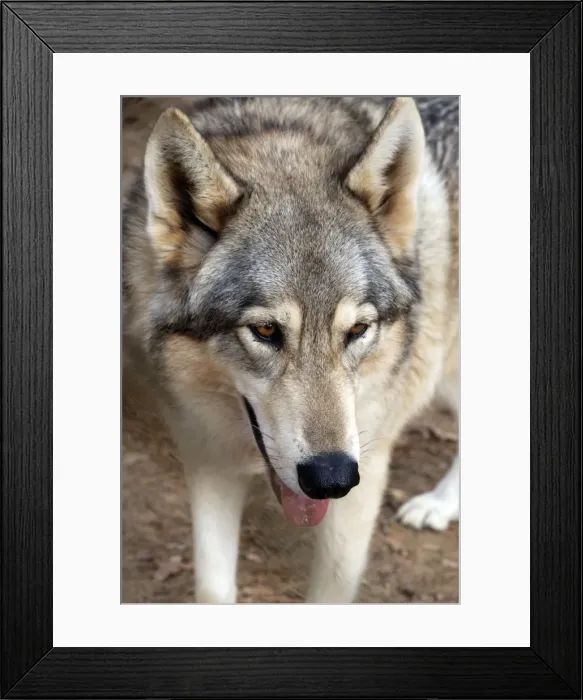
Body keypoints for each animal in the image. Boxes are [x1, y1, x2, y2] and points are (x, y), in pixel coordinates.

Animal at [123, 96, 459, 603]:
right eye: (265, 331)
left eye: (358, 329)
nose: (331, 479)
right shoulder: (208, 460)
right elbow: (212, 589)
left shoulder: (364, 474)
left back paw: (438, 504)